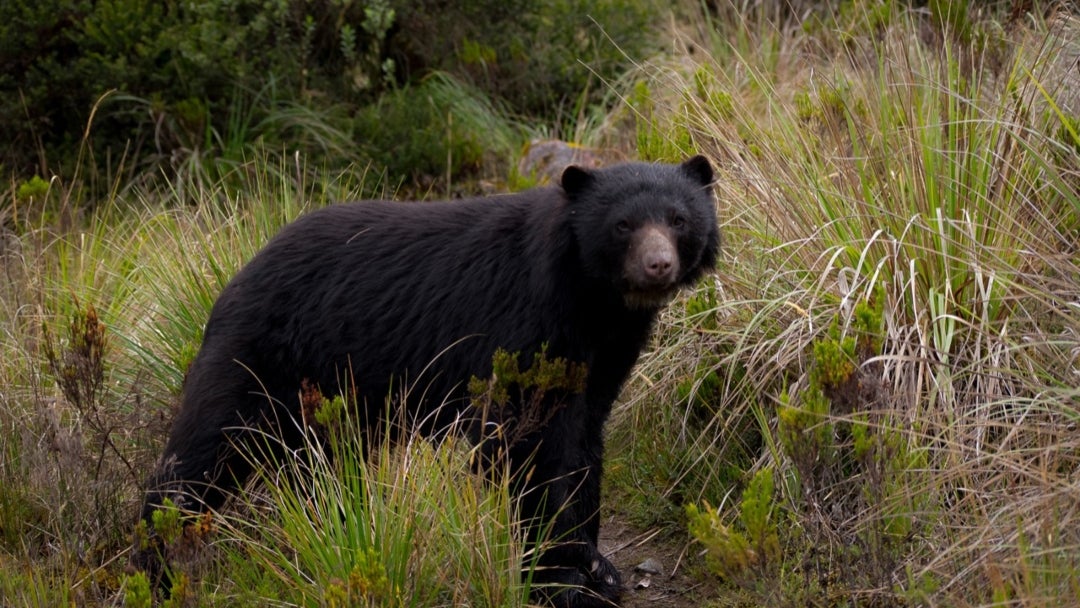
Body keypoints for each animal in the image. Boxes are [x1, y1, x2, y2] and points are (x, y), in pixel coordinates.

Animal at [133, 155, 720, 607]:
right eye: (622, 226)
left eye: (678, 219)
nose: (657, 265)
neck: (595, 303)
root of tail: (235, 280)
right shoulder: (519, 330)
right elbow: (527, 446)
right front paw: (561, 579)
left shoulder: (604, 357)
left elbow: (583, 444)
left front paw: (598, 568)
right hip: (256, 360)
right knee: (200, 457)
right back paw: (154, 568)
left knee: (318, 474)